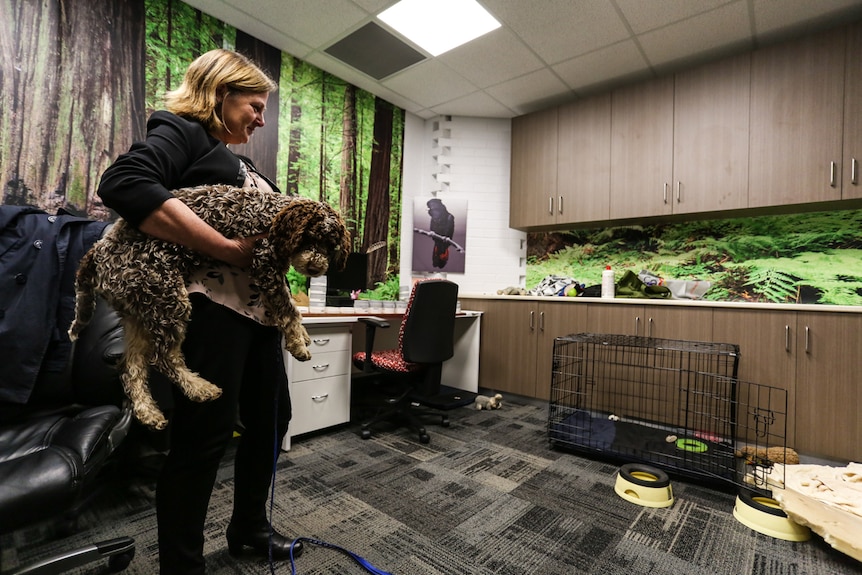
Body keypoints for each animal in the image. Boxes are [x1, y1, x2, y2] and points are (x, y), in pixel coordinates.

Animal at [68, 187, 352, 430]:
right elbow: (289, 309)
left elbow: (291, 305)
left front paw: (301, 334)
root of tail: (98, 251)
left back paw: (147, 412)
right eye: (308, 237)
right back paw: (198, 388)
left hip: (139, 309)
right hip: (168, 297)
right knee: (163, 358)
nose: (316, 267)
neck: (272, 213)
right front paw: (297, 342)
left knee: (131, 368)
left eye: (331, 245)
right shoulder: (264, 263)